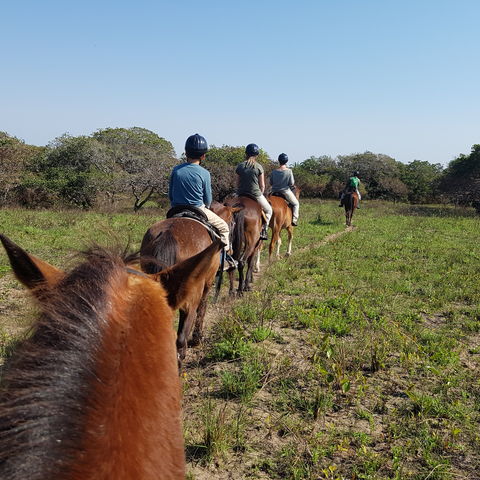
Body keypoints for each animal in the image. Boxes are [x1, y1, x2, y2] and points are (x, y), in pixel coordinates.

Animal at [140, 201, 239, 362]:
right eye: (233, 223)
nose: (231, 251)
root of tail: (168, 234)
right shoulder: (207, 283)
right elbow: (202, 307)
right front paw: (198, 338)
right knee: (181, 336)